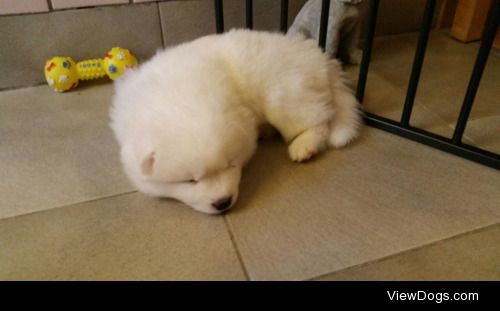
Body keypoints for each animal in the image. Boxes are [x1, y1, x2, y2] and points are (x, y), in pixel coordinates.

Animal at [110, 28, 360, 214]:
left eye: (231, 164)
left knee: (318, 118)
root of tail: (320, 57)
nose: (222, 202)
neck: (175, 95)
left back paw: (304, 145)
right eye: (190, 181)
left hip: (285, 94)